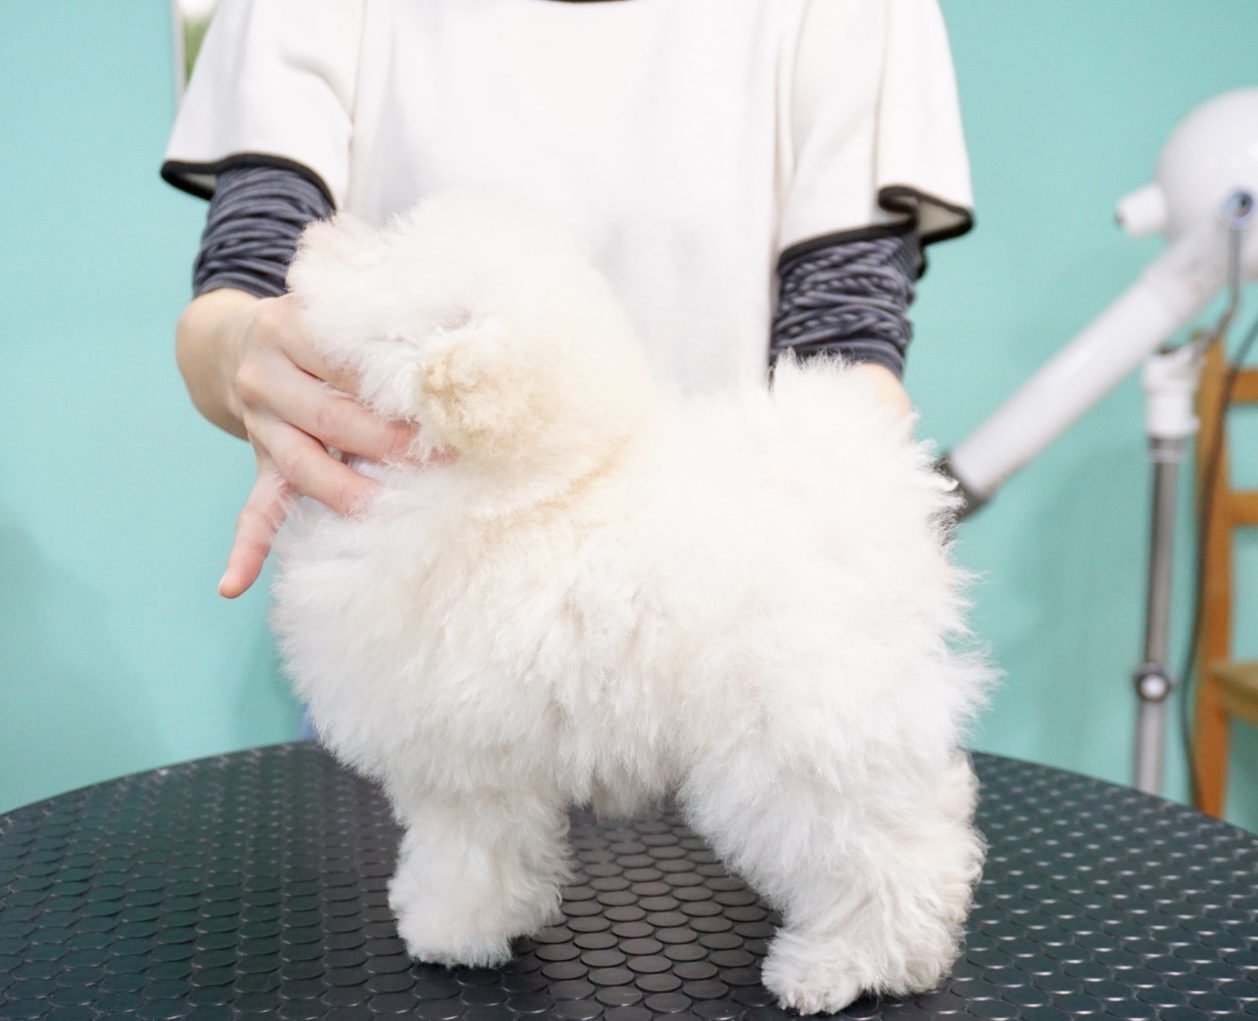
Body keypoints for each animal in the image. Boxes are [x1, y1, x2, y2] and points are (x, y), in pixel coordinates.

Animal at [272, 191, 990, 1015]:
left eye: (388, 272)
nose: (320, 237)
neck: (519, 489)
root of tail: (867, 509)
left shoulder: (467, 763)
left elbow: (468, 853)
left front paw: (451, 931)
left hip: (797, 741)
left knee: (879, 854)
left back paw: (841, 965)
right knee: (927, 822)